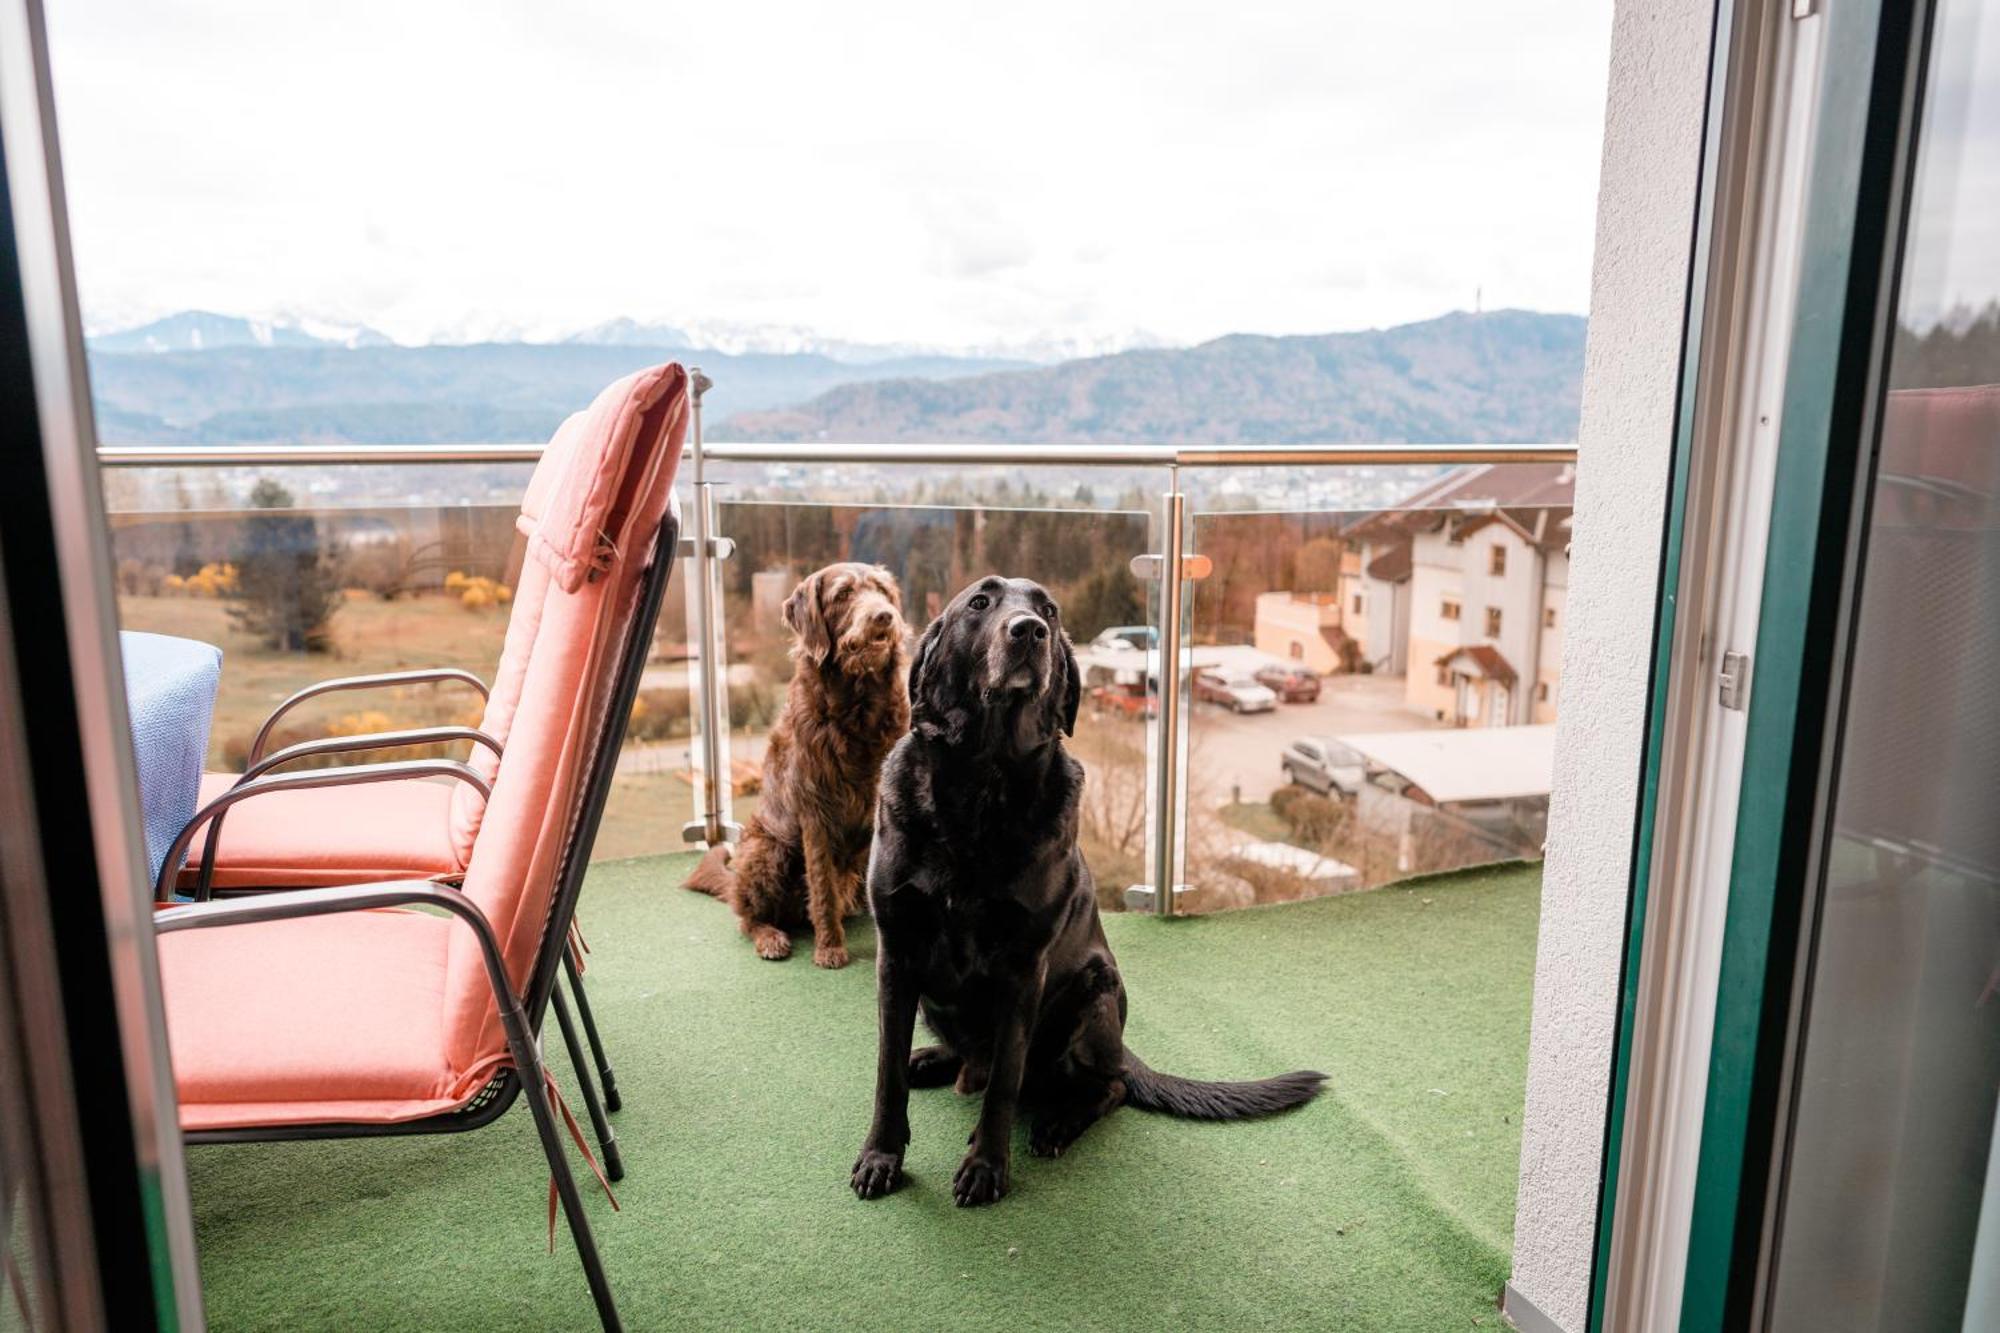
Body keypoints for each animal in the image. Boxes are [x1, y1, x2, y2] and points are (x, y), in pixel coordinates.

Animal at [684, 556, 912, 960]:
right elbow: (821, 885)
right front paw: (830, 949)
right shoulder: (815, 809)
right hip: (766, 850)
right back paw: (771, 936)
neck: (859, 707)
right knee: (748, 917)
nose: (884, 616)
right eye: (843, 594)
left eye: (883, 591)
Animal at [848, 572, 1328, 1200]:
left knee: (1104, 1085)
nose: (1030, 631)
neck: (982, 787)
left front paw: (987, 1166)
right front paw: (881, 1154)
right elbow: (886, 1072)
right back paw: (929, 1060)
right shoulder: (897, 954)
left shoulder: (1024, 968)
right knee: (969, 1059)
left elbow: (1004, 1084)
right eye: (980, 602)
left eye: (1049, 609)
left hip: (1095, 990)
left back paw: (1057, 1121)